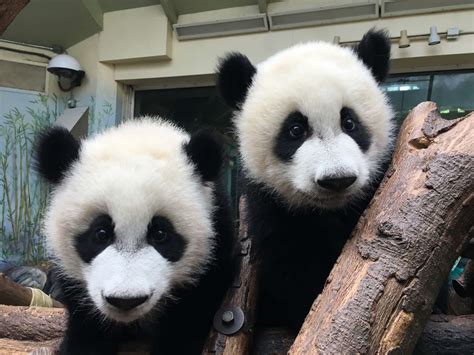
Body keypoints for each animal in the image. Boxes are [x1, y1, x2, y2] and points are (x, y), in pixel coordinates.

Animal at [217, 28, 394, 330]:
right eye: (295, 130)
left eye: (350, 122)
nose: (337, 179)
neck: (329, 211)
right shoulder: (269, 206)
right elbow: (291, 263)